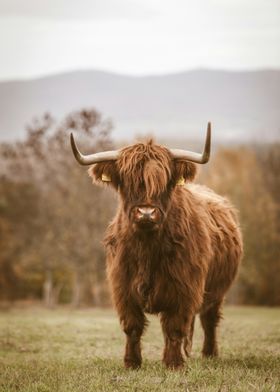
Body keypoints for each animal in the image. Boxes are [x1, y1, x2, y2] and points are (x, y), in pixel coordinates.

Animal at [70, 124, 243, 370]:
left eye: (165, 182)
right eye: (127, 181)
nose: (146, 213)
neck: (147, 248)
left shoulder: (184, 288)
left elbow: (175, 326)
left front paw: (174, 364)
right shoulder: (123, 287)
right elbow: (132, 327)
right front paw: (132, 363)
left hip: (217, 290)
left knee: (209, 319)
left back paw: (209, 354)